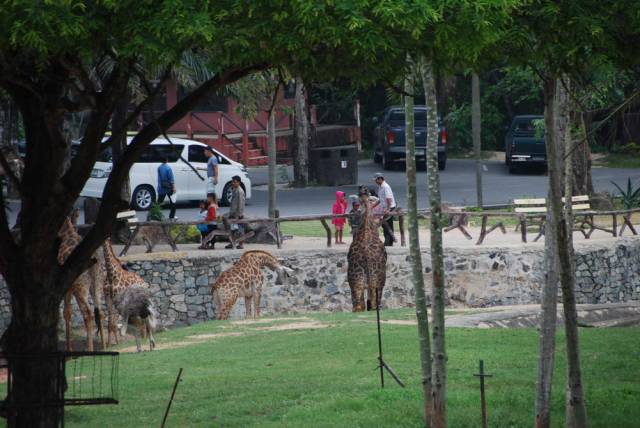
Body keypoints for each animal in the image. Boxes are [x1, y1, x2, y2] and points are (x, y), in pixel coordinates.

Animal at [56, 211, 106, 352]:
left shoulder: (66, 286)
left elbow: (66, 312)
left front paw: (69, 349)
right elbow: (68, 312)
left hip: (80, 286)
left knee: (88, 312)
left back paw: (90, 349)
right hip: (97, 283)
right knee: (100, 310)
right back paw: (105, 346)